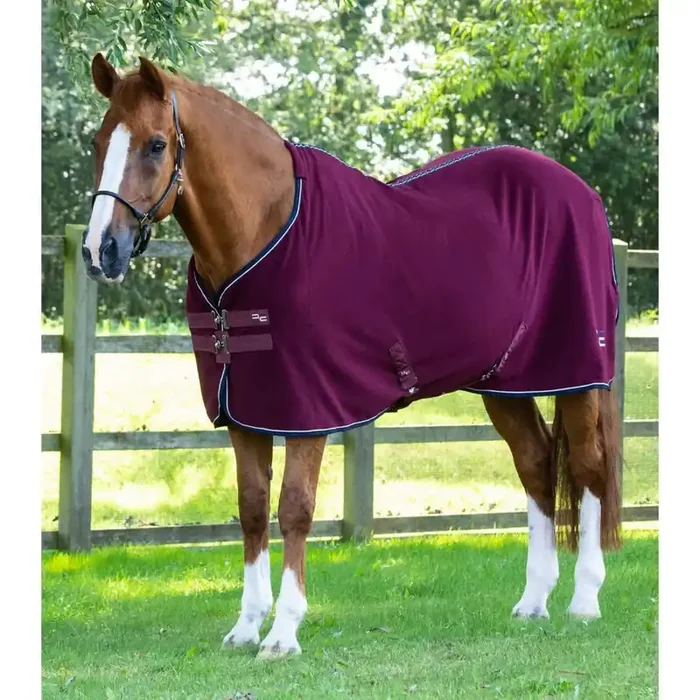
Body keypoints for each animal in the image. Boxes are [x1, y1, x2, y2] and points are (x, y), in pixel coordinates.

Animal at [82, 53, 622, 660]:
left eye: (156, 145)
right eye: (99, 141)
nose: (100, 251)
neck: (264, 229)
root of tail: (583, 193)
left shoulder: (308, 411)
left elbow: (294, 507)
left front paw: (284, 632)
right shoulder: (243, 410)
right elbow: (252, 507)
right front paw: (247, 626)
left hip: (578, 375)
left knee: (587, 466)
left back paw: (584, 601)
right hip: (503, 384)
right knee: (535, 461)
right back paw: (533, 601)